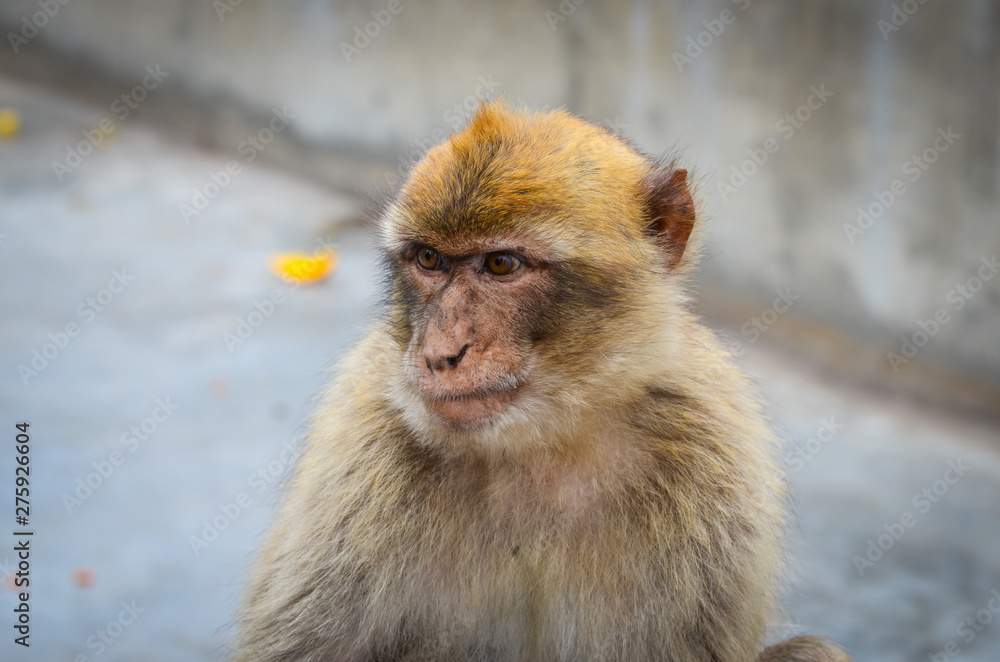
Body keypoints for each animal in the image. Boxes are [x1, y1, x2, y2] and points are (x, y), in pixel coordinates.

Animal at [234, 101, 853, 662]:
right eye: (429, 259)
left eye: (501, 264)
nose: (439, 353)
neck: (539, 440)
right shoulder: (363, 442)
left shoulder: (708, 453)